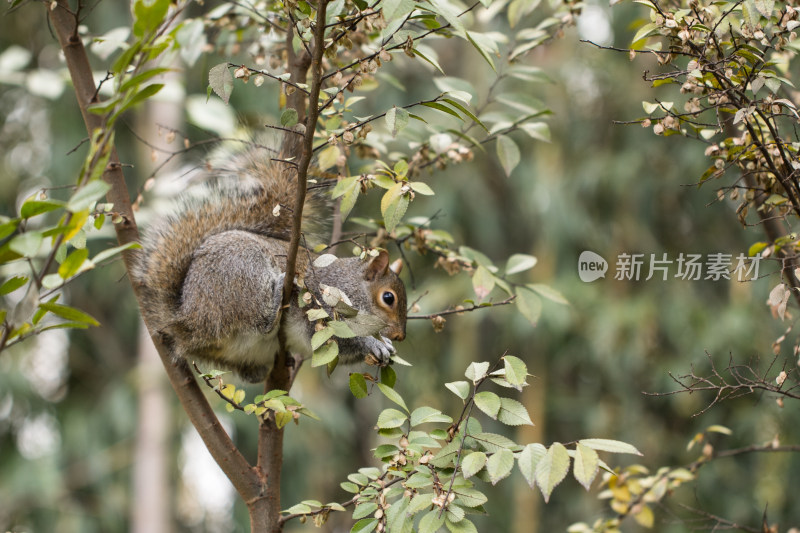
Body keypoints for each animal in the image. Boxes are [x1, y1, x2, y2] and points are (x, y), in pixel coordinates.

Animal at [133, 143, 406, 380]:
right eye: (388, 298)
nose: (400, 336)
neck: (352, 287)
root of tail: (189, 321)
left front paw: (385, 343)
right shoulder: (322, 302)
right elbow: (339, 338)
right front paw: (373, 343)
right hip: (243, 276)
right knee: (260, 323)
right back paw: (275, 302)